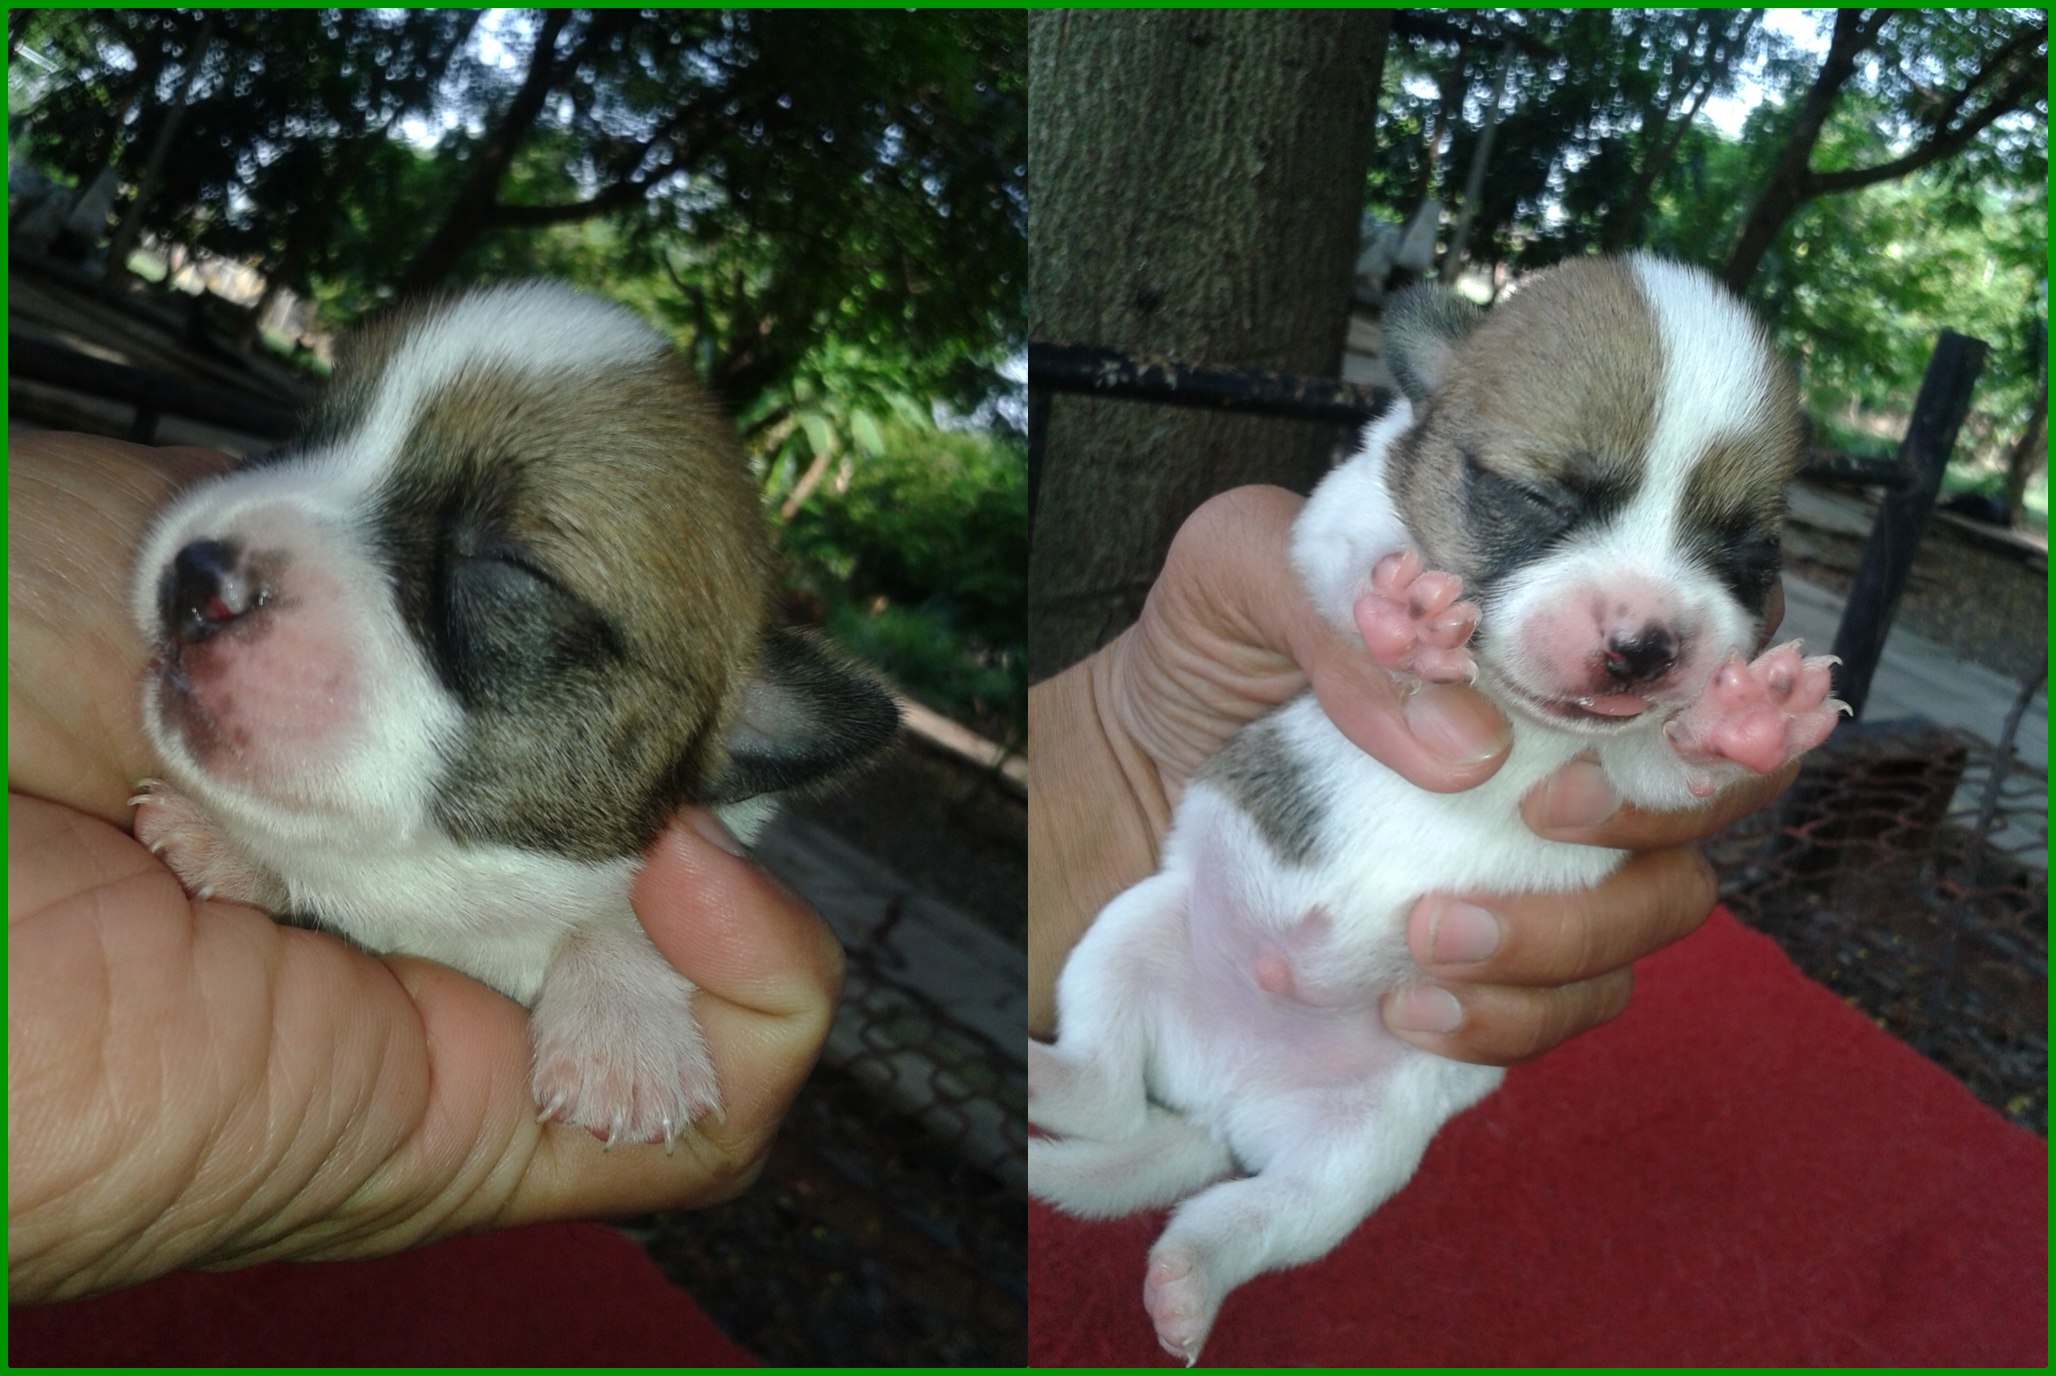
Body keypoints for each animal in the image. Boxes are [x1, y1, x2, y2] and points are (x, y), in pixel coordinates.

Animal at [131, 281, 898, 1149]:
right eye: (300, 438)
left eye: (509, 563)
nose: (194, 580)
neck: (439, 882)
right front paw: (226, 839)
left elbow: (615, 916)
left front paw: (622, 1026)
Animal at [1027, 255, 1845, 1361]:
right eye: (1535, 494)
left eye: (1749, 556)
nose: (1645, 644)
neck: (1518, 713)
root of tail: (1218, 1095)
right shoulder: (1325, 531)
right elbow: (1347, 566)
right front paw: (1406, 619)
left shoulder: (1619, 779)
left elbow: (1667, 759)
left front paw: (1750, 716)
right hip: (1132, 932)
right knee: (1105, 1089)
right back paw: (1047, 1080)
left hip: (1359, 1152)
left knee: (1248, 1208)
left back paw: (1188, 1276)